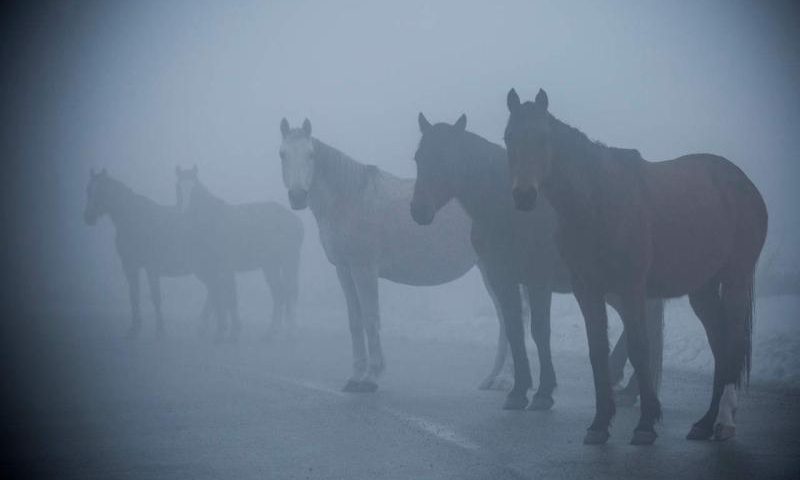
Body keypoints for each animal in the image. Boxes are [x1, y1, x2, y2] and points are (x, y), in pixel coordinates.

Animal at [84, 169, 234, 338]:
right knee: (215, 291)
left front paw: (160, 330)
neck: (134, 221)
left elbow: (155, 297)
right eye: (88, 190)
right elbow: (134, 296)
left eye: (102, 190)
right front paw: (134, 328)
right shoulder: (130, 267)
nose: (88, 217)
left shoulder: (151, 268)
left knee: (217, 290)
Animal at [175, 165, 304, 342]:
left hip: (288, 261)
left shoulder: (222, 269)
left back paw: (289, 331)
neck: (211, 221)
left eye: (194, 190)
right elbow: (219, 296)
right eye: (178, 188)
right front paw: (217, 328)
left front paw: (226, 330)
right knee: (280, 293)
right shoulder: (216, 270)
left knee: (288, 292)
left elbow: (226, 297)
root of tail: (295, 221)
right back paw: (273, 330)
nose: (184, 212)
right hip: (271, 265)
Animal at [278, 118, 510, 392]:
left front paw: (371, 377)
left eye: (311, 154)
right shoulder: (344, 269)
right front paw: (355, 376)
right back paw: (492, 378)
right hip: (489, 268)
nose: (297, 196)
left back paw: (505, 379)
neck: (349, 199)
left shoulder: (364, 269)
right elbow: (355, 321)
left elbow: (370, 318)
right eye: (282, 154)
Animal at [410, 113, 664, 412]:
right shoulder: (502, 279)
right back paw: (630, 388)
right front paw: (519, 390)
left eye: (447, 157)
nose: (419, 210)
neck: (505, 207)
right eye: (418, 158)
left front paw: (543, 392)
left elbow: (539, 331)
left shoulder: (538, 280)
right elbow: (514, 330)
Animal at [506, 88, 768, 444]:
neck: (598, 201)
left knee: (734, 343)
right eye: (508, 138)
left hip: (736, 279)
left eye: (543, 138)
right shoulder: (587, 290)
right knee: (720, 344)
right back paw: (704, 423)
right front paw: (600, 423)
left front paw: (645, 424)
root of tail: (744, 185)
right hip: (702, 290)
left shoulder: (631, 289)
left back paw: (724, 421)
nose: (524, 195)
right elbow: (597, 350)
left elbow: (640, 347)